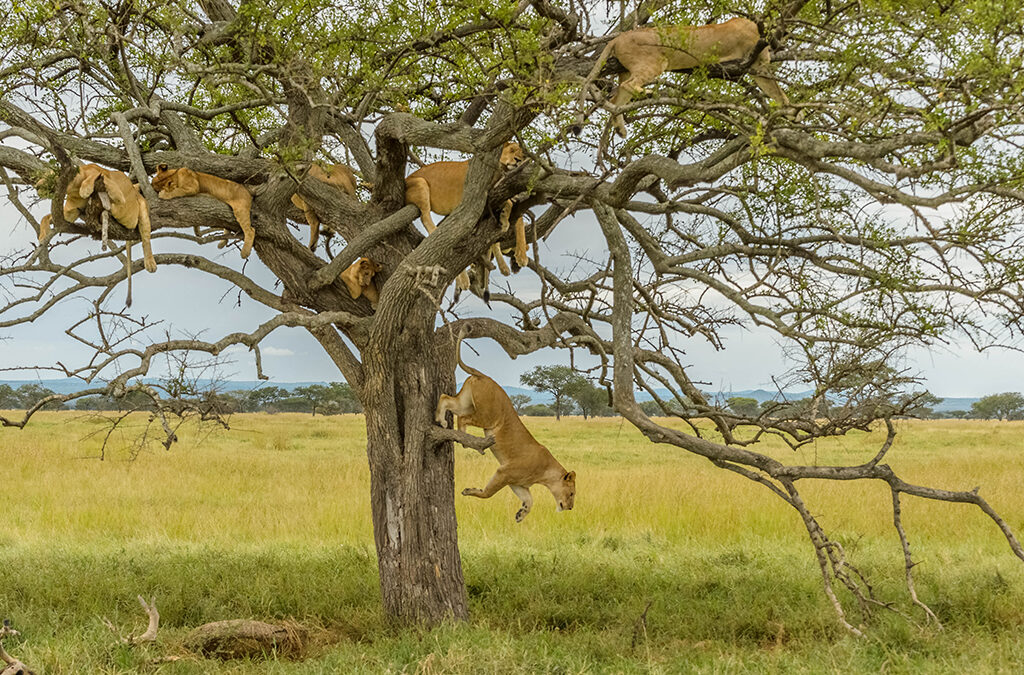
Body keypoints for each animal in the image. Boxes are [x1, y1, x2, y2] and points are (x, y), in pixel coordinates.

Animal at [405, 142, 529, 296]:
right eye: (512, 150)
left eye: (522, 153)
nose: (518, 160)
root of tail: (406, 179)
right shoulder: (481, 200)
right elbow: (512, 209)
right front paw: (520, 253)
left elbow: (515, 216)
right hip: (421, 183)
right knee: (429, 221)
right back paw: (463, 278)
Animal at [436, 331, 576, 522]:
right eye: (571, 494)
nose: (571, 508)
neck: (546, 473)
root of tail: (485, 376)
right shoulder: (505, 472)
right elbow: (488, 493)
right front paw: (470, 491)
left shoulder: (518, 483)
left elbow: (529, 500)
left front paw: (521, 514)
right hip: (487, 416)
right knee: (463, 418)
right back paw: (462, 437)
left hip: (465, 403)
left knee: (445, 398)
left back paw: (441, 420)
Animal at [579, 16, 791, 137]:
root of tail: (618, 37)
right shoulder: (753, 61)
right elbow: (775, 88)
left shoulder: (759, 68)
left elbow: (777, 92)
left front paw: (792, 113)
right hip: (654, 63)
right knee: (628, 86)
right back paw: (647, 92)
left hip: (626, 70)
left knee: (617, 100)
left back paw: (620, 129)